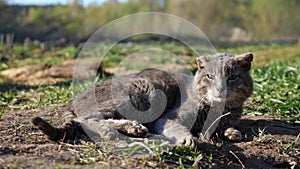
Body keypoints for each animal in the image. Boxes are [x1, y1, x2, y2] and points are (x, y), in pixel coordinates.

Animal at [32, 52, 253, 147]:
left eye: (232, 77)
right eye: (210, 76)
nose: (220, 88)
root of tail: (72, 100)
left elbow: (223, 127)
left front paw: (232, 132)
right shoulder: (167, 118)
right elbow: (179, 128)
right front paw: (188, 138)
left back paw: (133, 128)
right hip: (139, 94)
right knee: (85, 120)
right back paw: (124, 129)